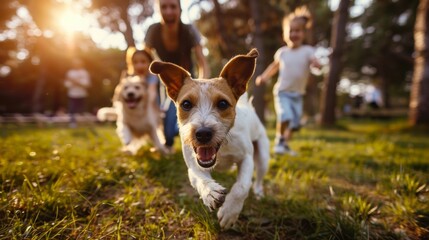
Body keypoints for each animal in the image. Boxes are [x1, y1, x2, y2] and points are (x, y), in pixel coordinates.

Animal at [150, 48, 270, 229]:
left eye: (222, 104)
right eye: (186, 104)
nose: (203, 133)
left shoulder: (246, 158)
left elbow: (241, 187)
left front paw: (229, 212)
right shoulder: (193, 165)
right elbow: (200, 179)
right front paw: (210, 192)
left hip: (262, 157)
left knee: (259, 178)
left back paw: (258, 192)